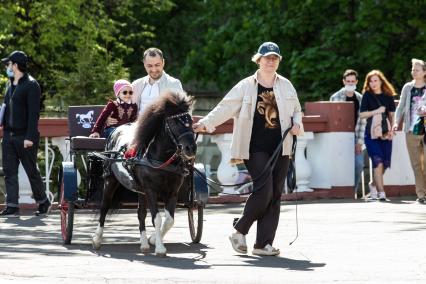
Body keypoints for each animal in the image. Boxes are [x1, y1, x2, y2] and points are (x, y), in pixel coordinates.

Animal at [91, 92, 196, 256]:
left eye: (190, 121)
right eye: (175, 123)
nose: (191, 148)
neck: (160, 159)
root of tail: (116, 129)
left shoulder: (172, 192)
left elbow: (169, 220)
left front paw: (153, 240)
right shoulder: (151, 190)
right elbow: (157, 219)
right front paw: (160, 248)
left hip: (140, 190)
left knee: (140, 213)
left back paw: (144, 244)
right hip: (110, 180)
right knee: (104, 207)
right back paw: (97, 239)